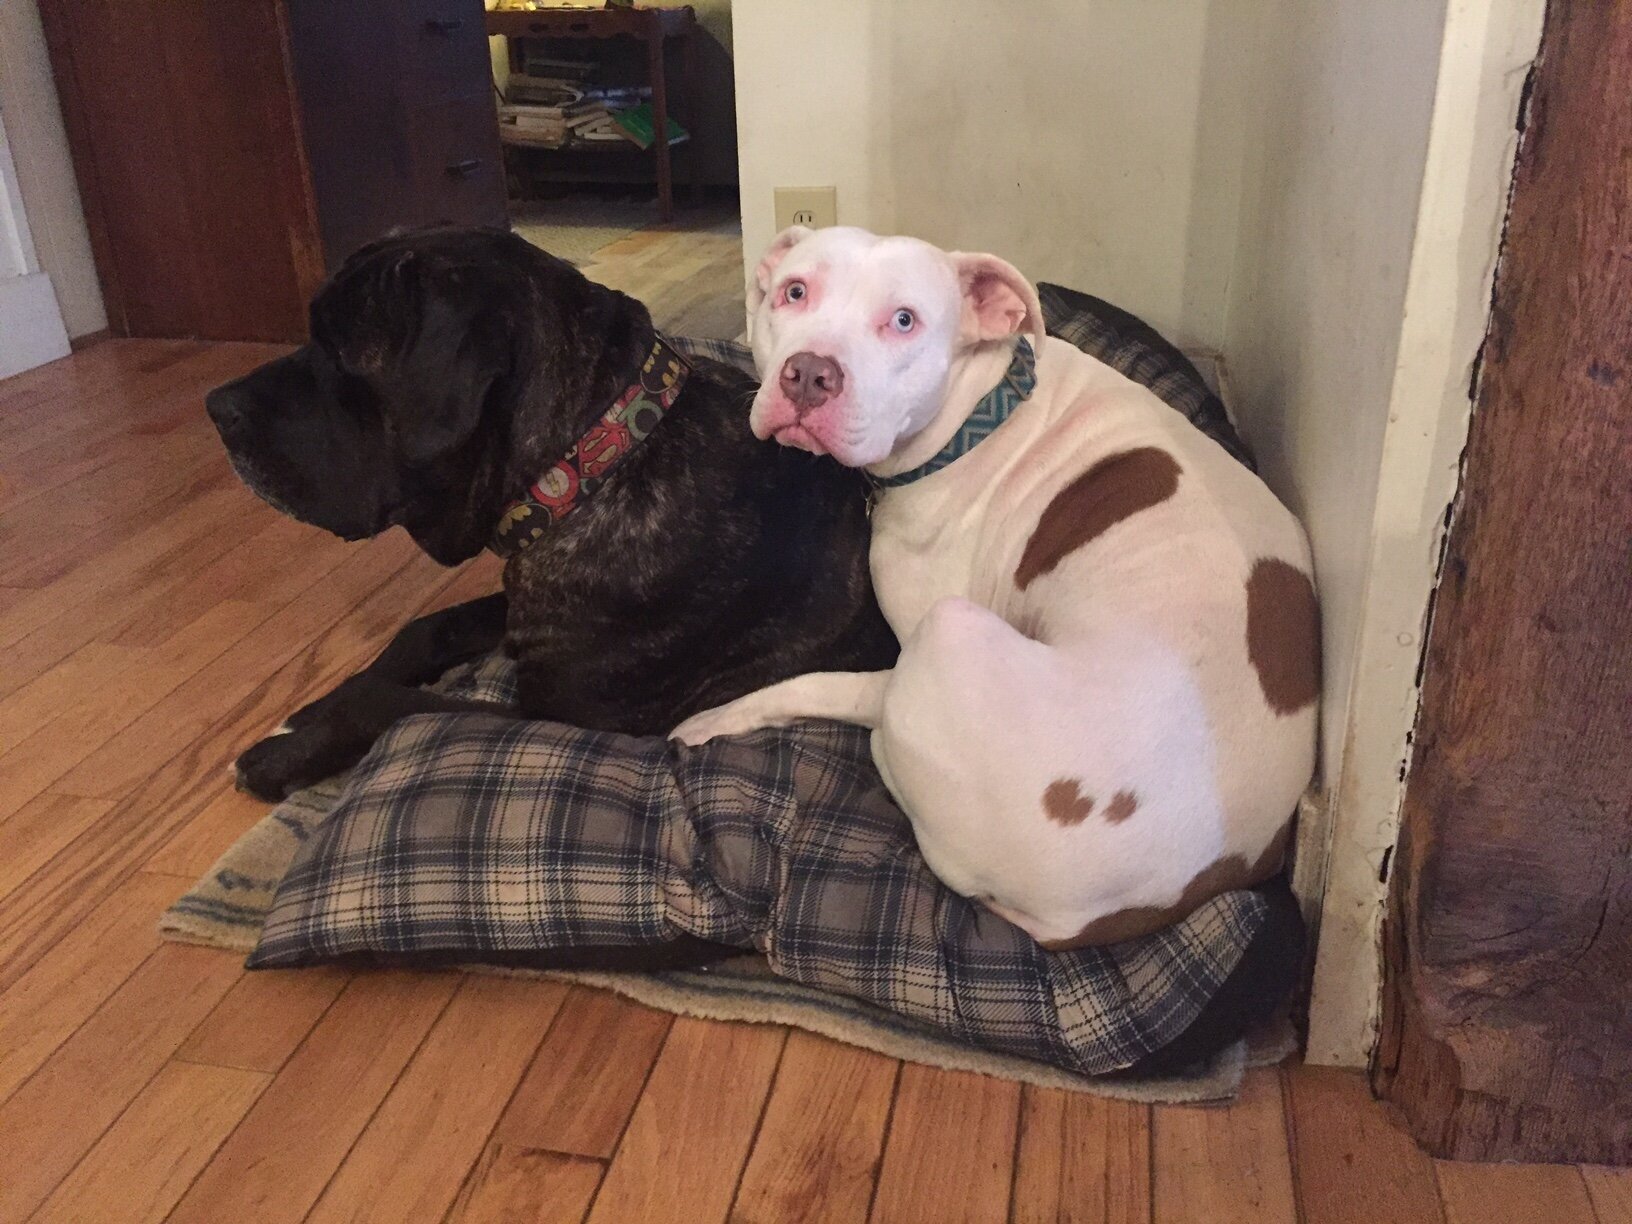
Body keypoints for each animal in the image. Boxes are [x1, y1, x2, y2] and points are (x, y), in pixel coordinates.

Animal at [208, 226, 896, 803]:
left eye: (342, 353)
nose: (216, 406)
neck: (593, 463)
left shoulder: (559, 718)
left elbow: (393, 706)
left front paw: (282, 756)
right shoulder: (523, 613)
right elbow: (424, 630)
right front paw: (307, 712)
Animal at [674, 226, 1319, 948]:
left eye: (904, 320)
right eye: (794, 291)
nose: (810, 373)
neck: (977, 415)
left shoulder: (908, 642)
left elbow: (815, 685)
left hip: (948, 636)